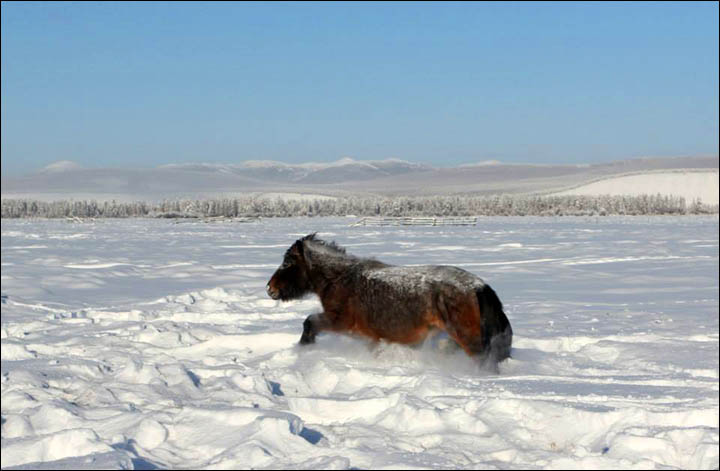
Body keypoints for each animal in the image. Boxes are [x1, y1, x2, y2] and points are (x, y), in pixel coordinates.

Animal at [266, 234, 512, 364]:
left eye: (288, 263)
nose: (270, 288)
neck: (341, 278)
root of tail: (480, 287)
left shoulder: (341, 322)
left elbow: (310, 323)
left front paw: (302, 350)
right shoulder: (372, 337)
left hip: (469, 340)